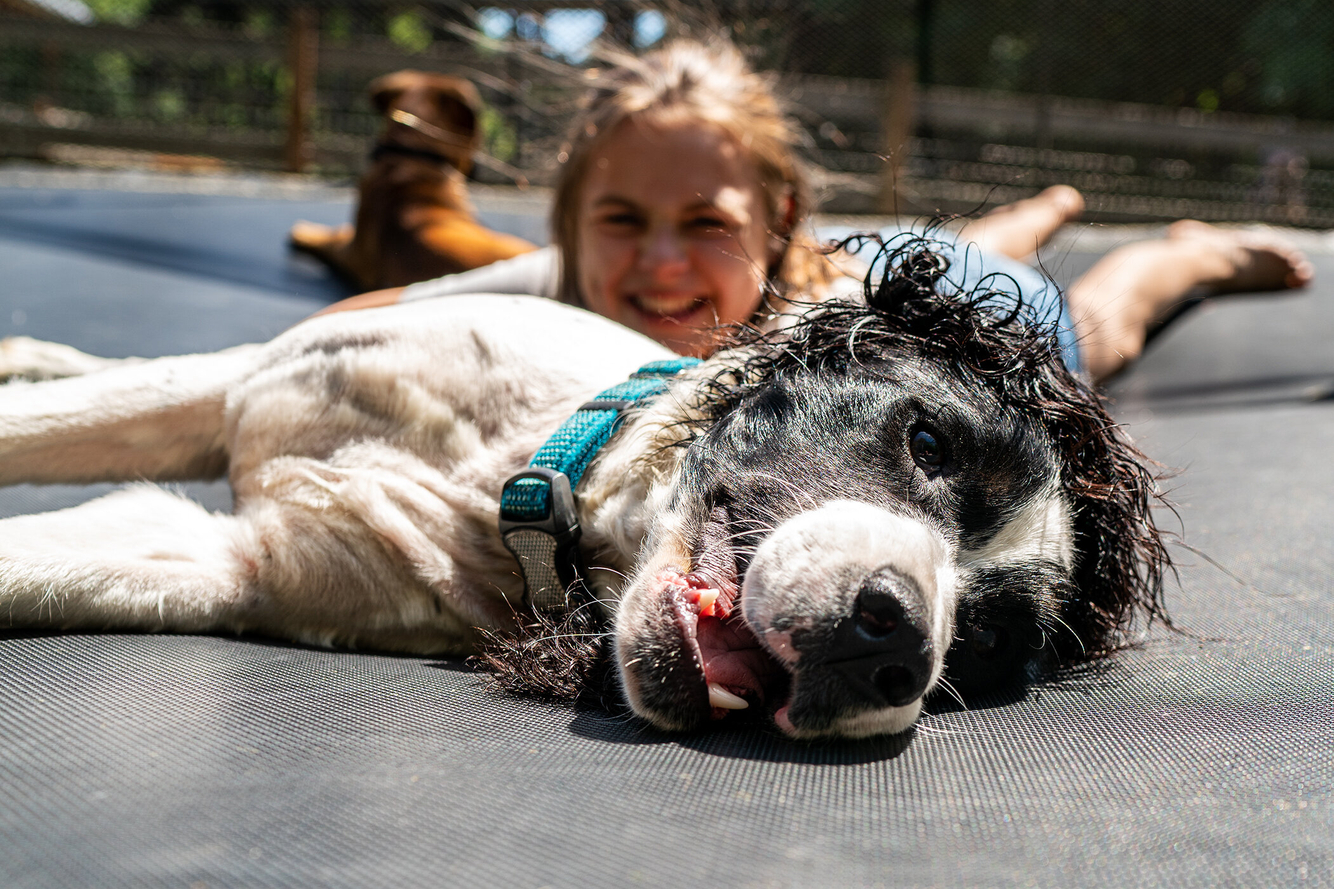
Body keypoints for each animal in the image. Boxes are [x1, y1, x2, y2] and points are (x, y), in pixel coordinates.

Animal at [0, 245, 1163, 736]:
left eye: (987, 644)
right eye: (928, 439)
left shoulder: (226, 565)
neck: (521, 487)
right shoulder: (238, 389)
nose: (898, 644)